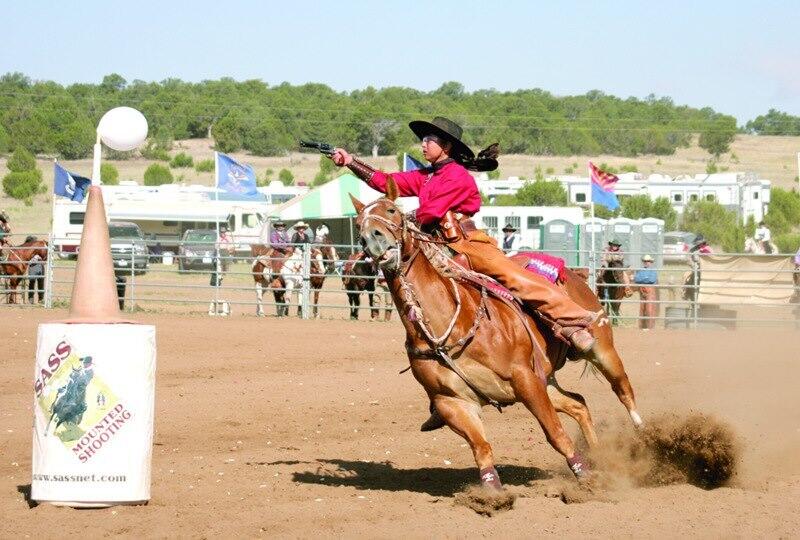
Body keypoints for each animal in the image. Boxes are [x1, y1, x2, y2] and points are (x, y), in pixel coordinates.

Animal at [354, 180, 640, 490]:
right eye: (358, 224)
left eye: (391, 210)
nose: (372, 239)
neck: (452, 324)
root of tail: (576, 277)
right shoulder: (451, 401)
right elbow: (481, 447)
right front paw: (490, 491)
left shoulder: (524, 379)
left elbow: (555, 434)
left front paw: (584, 477)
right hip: (547, 379)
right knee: (578, 403)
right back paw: (599, 456)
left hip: (601, 350)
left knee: (622, 388)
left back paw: (642, 434)